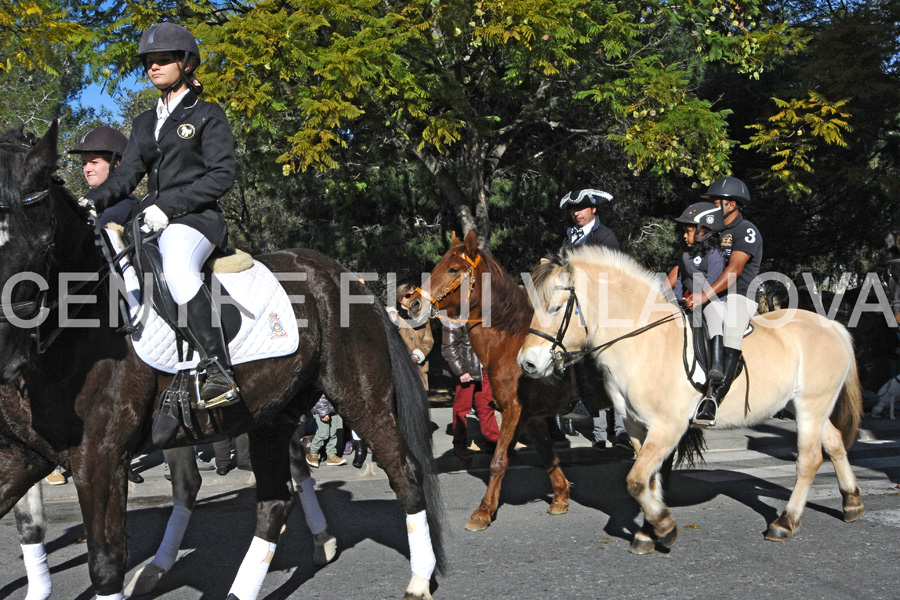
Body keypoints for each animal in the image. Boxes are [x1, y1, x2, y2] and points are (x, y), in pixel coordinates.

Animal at [0, 123, 446, 600]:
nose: (5, 362)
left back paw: (419, 576)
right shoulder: (24, 453)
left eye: (44, 244)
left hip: (362, 399)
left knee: (404, 472)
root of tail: (343, 274)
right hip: (272, 413)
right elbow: (28, 523)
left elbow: (105, 564)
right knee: (273, 500)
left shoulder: (100, 458)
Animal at [410, 230, 592, 528]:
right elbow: (546, 453)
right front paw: (560, 497)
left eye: (453, 269)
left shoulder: (513, 410)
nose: (414, 304)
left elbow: (499, 459)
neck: (511, 340)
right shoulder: (531, 414)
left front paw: (483, 511)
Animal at [520, 244, 864, 552]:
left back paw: (785, 523)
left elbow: (636, 480)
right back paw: (851, 502)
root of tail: (833, 326)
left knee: (809, 459)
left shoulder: (668, 427)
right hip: (803, 407)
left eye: (555, 308)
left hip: (811, 405)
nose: (528, 363)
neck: (644, 342)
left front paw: (664, 528)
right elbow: (650, 480)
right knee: (834, 442)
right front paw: (648, 532)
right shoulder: (636, 426)